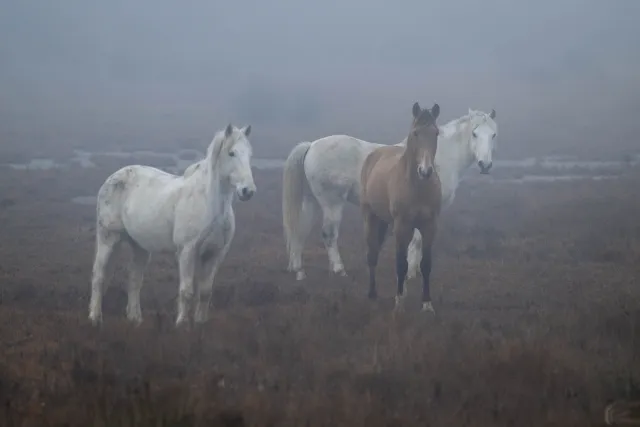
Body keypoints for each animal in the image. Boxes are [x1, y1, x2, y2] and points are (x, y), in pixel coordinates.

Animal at [88, 123, 258, 328]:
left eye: (249, 154)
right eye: (232, 153)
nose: (248, 191)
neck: (209, 203)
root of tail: (112, 178)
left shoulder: (215, 254)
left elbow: (205, 292)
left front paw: (200, 325)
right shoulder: (187, 251)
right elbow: (186, 291)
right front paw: (182, 325)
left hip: (140, 247)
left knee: (134, 280)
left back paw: (135, 319)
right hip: (108, 238)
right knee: (99, 276)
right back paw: (95, 318)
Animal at [282, 108, 498, 280]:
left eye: (494, 135)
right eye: (474, 133)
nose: (485, 165)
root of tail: (311, 145)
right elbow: (417, 241)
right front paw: (411, 273)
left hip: (312, 201)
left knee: (300, 230)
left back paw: (298, 269)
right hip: (332, 203)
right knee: (328, 234)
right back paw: (339, 270)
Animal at [358, 101, 442, 314]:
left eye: (436, 133)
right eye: (415, 133)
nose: (425, 171)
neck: (418, 187)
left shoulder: (430, 226)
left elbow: (426, 264)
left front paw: (427, 304)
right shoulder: (402, 226)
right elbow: (400, 263)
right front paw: (398, 302)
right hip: (370, 217)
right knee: (372, 254)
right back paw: (372, 294)